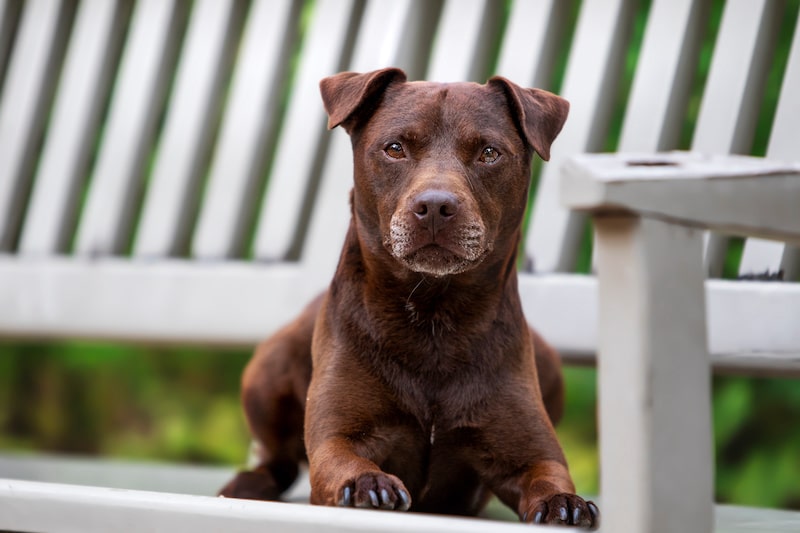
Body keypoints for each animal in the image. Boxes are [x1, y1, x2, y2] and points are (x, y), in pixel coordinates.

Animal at [222, 67, 596, 528]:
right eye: (395, 148)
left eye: (490, 153)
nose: (435, 206)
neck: (433, 317)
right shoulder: (337, 437)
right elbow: (344, 461)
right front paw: (367, 482)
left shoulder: (532, 453)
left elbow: (550, 476)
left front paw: (565, 503)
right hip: (267, 370)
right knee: (280, 460)